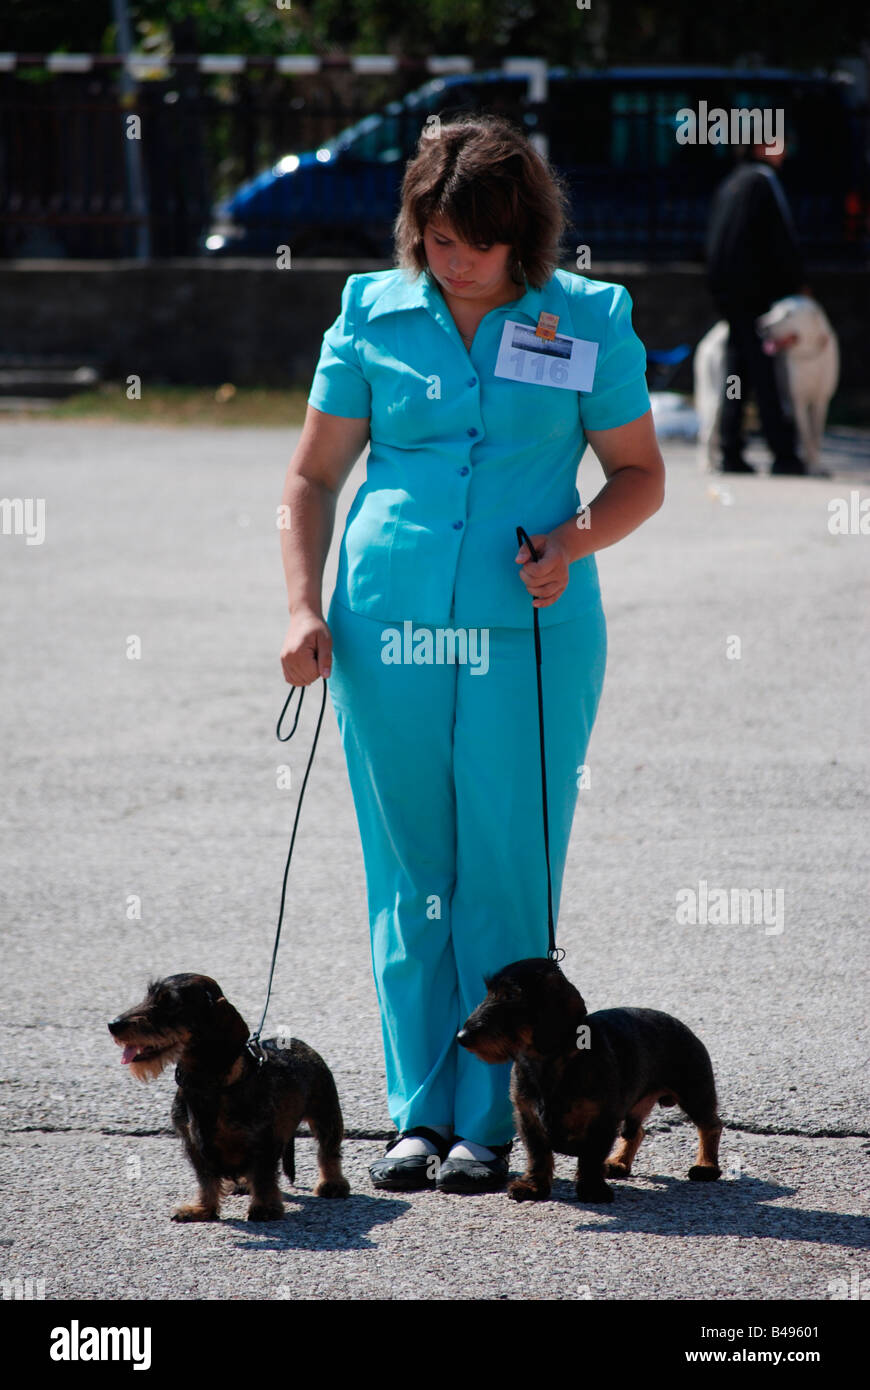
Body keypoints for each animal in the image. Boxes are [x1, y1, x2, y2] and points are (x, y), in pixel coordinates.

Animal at [692, 296, 833, 475]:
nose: (762, 325)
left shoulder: (821, 401)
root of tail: (712, 334)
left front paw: (813, 464)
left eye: (788, 314)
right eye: (774, 310)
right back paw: (707, 464)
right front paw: (810, 466)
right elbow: (807, 436)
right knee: (706, 434)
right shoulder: (797, 402)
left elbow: (815, 437)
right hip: (714, 396)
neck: (808, 357)